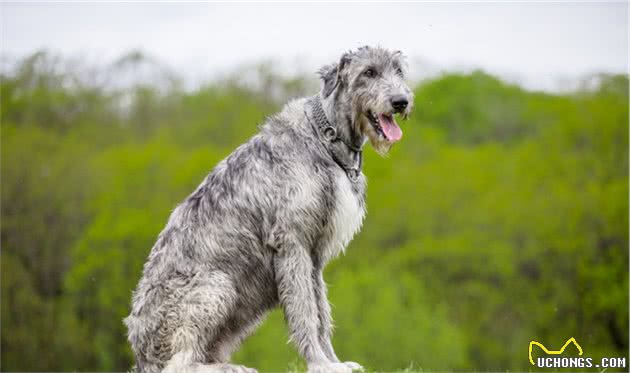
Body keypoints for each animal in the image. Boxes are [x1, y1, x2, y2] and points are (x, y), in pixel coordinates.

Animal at [126, 46, 418, 372]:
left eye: (399, 70)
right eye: (368, 72)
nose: (401, 101)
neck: (324, 138)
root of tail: (141, 356)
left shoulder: (313, 256)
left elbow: (321, 311)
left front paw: (334, 361)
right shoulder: (291, 244)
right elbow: (305, 311)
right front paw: (320, 363)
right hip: (217, 285)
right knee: (179, 364)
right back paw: (230, 368)